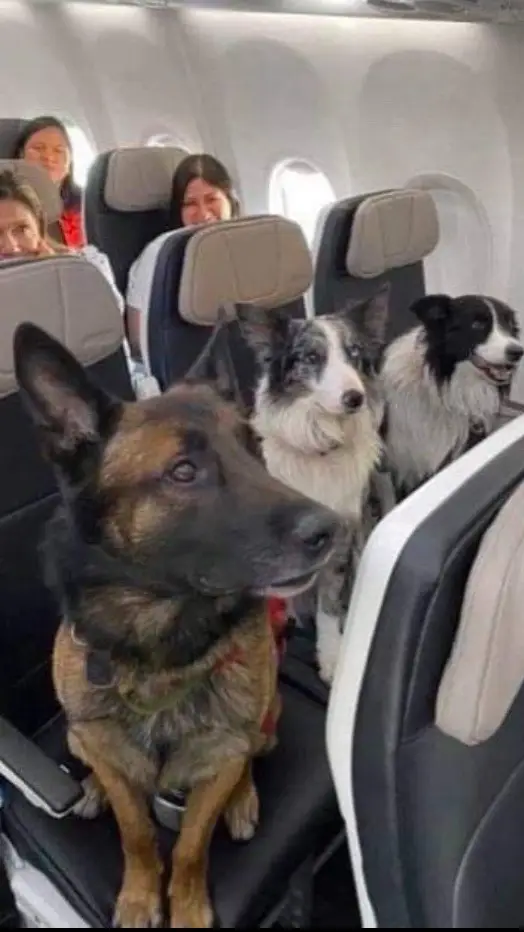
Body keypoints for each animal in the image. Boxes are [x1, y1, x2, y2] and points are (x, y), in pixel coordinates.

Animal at [14, 318, 340, 924]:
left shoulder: (220, 760)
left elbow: (190, 845)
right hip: (76, 734)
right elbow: (138, 833)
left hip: (264, 724)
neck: (163, 653)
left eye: (255, 450)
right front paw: (141, 894)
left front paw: (186, 904)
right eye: (183, 472)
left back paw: (244, 798)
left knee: (249, 757)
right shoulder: (111, 757)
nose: (330, 530)